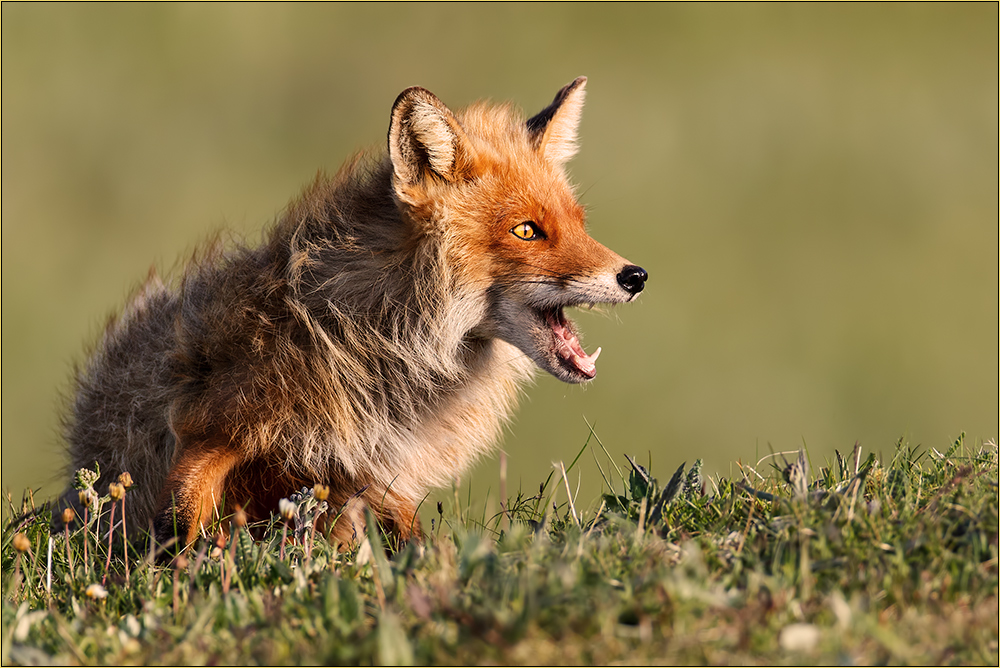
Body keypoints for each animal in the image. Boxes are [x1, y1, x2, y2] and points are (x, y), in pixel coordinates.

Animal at [54, 77, 648, 548]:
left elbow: (417, 542)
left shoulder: (368, 477)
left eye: (580, 224)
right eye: (527, 230)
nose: (636, 276)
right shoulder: (214, 425)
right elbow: (182, 514)